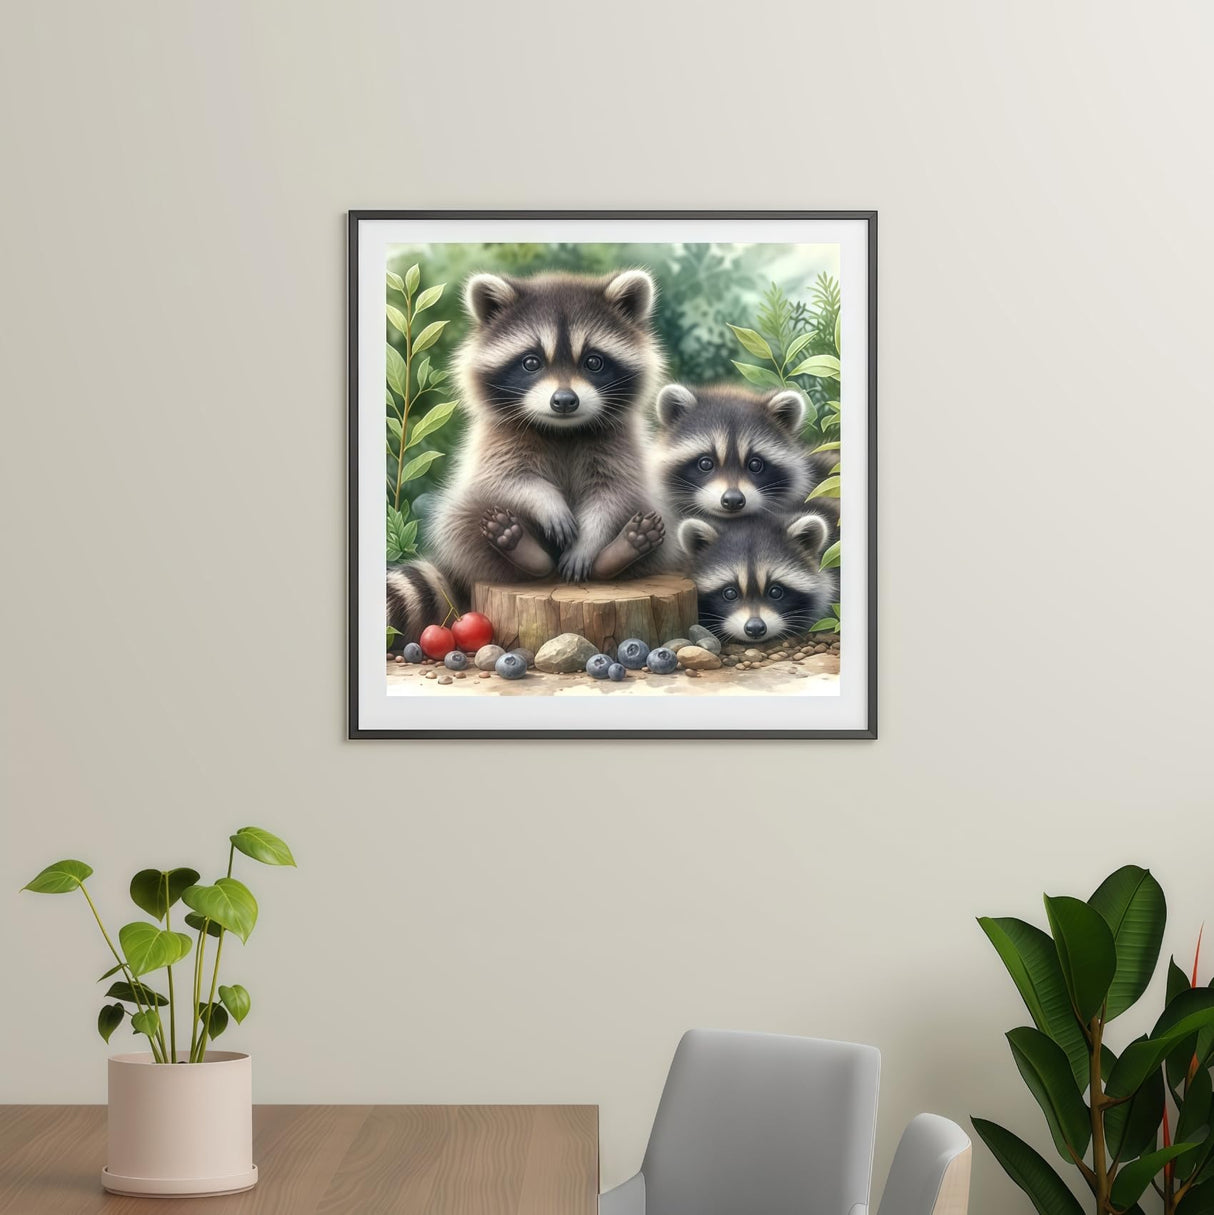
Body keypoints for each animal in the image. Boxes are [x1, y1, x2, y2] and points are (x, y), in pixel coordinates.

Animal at [387, 269, 673, 644]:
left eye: (593, 362)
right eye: (531, 362)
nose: (564, 401)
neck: (562, 429)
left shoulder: (620, 443)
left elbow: (613, 493)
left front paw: (589, 541)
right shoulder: (496, 440)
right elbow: (508, 479)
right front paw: (545, 500)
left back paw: (620, 551)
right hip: (465, 524)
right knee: (465, 517)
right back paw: (522, 549)